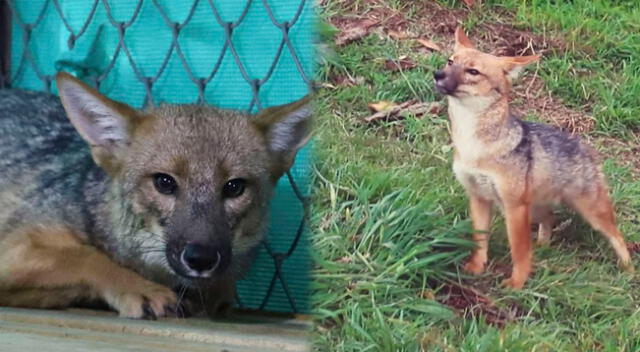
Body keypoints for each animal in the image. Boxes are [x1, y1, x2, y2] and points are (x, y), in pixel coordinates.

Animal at [0, 73, 312, 318]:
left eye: (234, 187)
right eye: (164, 182)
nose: (201, 258)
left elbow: (220, 291)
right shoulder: (18, 246)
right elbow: (89, 257)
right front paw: (142, 289)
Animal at [432, 26, 632, 288]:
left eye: (472, 71)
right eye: (450, 61)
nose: (437, 74)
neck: (474, 147)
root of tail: (583, 146)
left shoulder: (514, 207)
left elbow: (519, 250)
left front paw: (517, 284)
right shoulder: (478, 197)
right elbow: (479, 240)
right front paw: (476, 268)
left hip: (592, 214)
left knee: (618, 237)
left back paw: (628, 269)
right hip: (535, 209)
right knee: (550, 218)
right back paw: (543, 245)